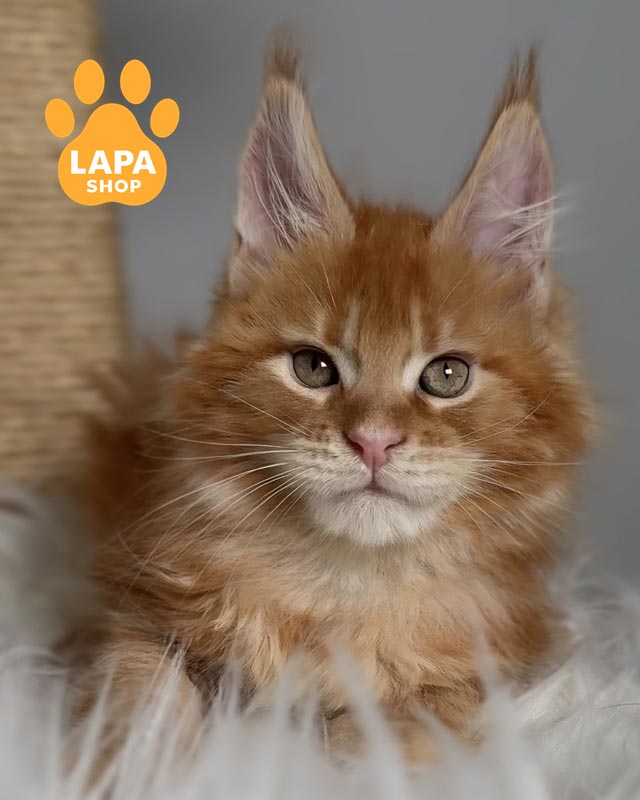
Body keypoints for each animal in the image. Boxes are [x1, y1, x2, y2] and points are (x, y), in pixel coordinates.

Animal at [77, 35, 593, 767]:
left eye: (446, 376)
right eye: (313, 367)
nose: (373, 440)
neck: (342, 592)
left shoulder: (478, 673)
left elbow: (381, 735)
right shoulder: (134, 613)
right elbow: (141, 697)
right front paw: (136, 765)